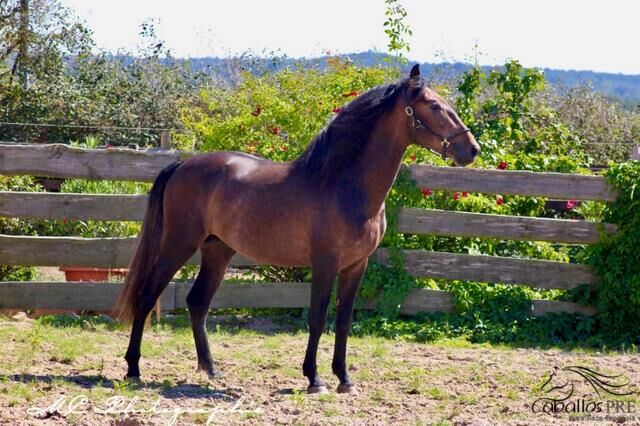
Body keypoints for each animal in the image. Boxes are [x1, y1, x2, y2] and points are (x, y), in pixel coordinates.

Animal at [114, 65, 480, 394]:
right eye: (434, 106)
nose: (472, 149)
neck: (343, 184)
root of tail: (181, 165)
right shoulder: (325, 263)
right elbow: (317, 317)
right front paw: (314, 379)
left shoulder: (356, 266)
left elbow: (344, 320)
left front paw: (345, 379)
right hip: (178, 244)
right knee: (147, 296)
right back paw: (133, 369)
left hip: (218, 250)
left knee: (197, 303)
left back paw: (211, 370)